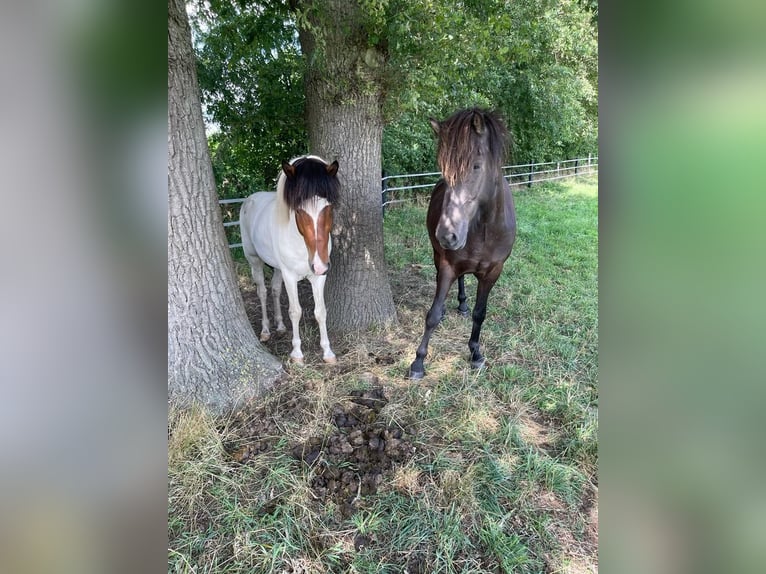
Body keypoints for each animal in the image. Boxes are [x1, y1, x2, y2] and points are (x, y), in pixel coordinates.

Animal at [242, 156, 340, 364]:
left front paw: (328, 352)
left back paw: (279, 326)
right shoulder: (290, 276)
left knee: (275, 290)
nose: (319, 265)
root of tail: (250, 199)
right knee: (262, 292)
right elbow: (295, 311)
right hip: (254, 260)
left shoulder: (318, 277)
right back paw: (265, 330)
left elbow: (321, 311)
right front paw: (297, 353)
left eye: (328, 207)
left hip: (278, 268)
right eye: (299, 210)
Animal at [408, 108, 516, 380]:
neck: (485, 228)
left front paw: (476, 353)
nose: (447, 234)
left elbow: (480, 314)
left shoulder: (493, 272)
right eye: (443, 168)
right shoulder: (448, 264)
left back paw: (463, 304)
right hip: (438, 256)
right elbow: (433, 315)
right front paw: (418, 362)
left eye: (476, 166)